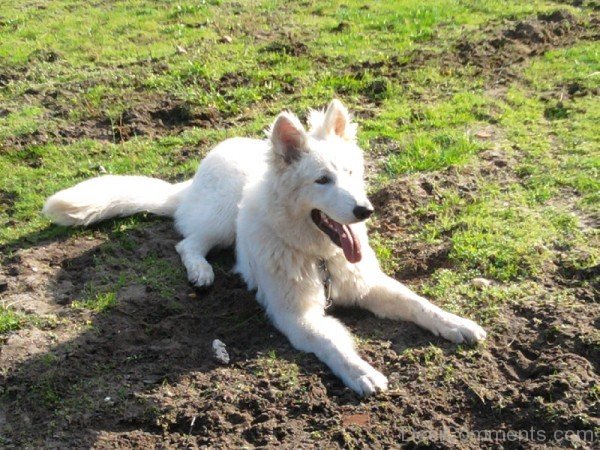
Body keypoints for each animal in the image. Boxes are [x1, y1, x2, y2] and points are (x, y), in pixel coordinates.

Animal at [43, 100, 482, 396]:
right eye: (322, 180)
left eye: (351, 173)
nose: (365, 210)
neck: (318, 257)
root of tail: (198, 171)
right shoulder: (297, 317)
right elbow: (332, 344)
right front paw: (360, 371)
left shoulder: (368, 285)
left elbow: (417, 303)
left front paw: (456, 323)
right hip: (222, 220)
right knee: (188, 242)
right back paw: (201, 271)